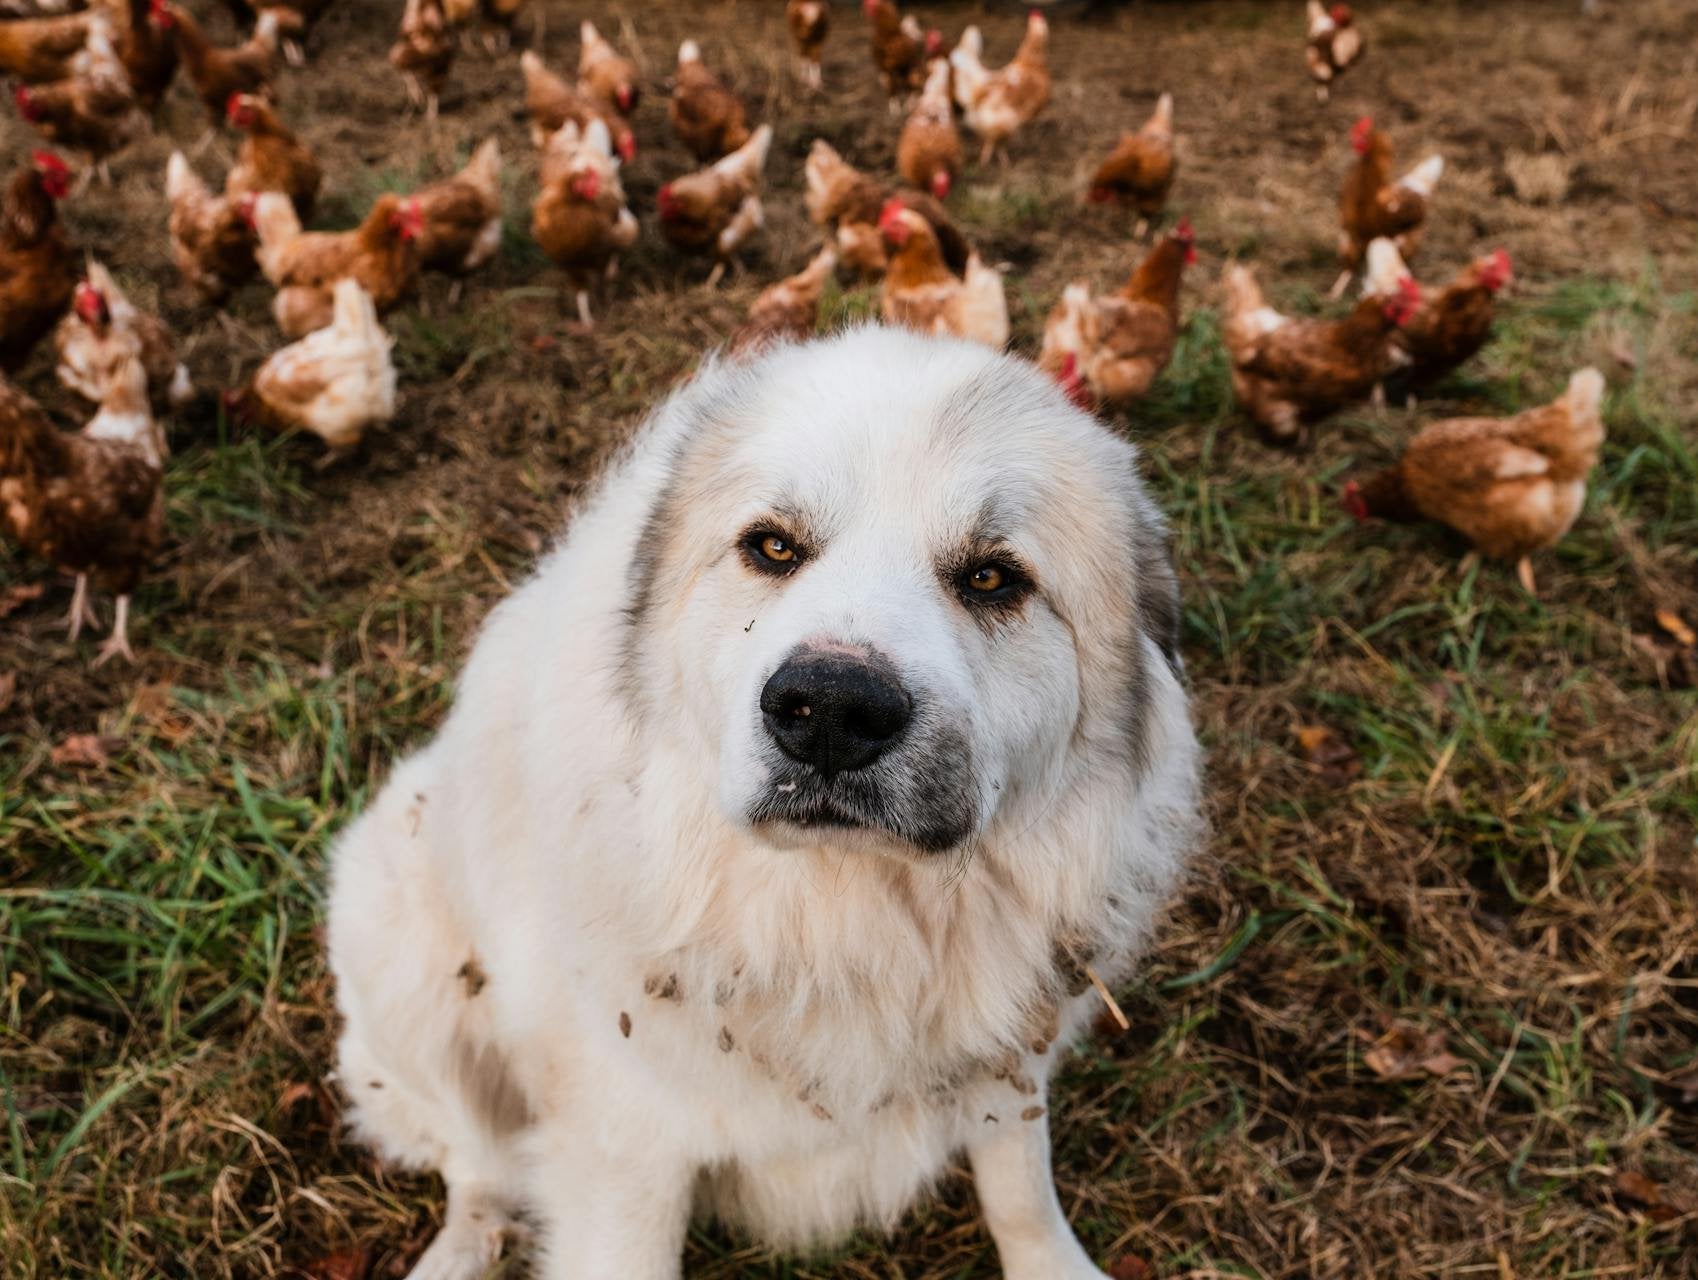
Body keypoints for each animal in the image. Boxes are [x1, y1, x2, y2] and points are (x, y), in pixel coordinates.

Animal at [324, 325, 1202, 1276]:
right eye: (774, 548)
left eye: (992, 579)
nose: (832, 712)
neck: (842, 924)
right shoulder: (626, 1156)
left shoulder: (1009, 1062)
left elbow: (1020, 1191)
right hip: (400, 945)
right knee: (474, 1162)